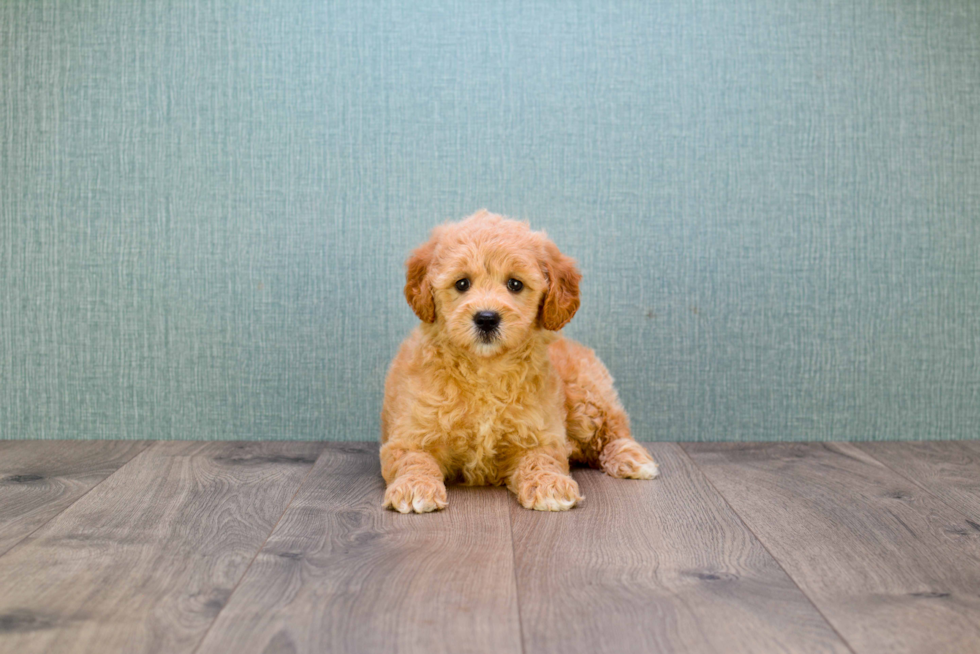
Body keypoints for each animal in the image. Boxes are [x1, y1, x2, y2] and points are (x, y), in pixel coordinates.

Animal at [380, 213, 660, 516]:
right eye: (462, 284)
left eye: (515, 284)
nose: (487, 318)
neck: (485, 369)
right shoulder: (410, 434)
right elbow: (413, 459)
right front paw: (414, 487)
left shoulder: (540, 434)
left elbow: (542, 458)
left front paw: (549, 484)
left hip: (586, 396)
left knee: (613, 429)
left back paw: (633, 459)